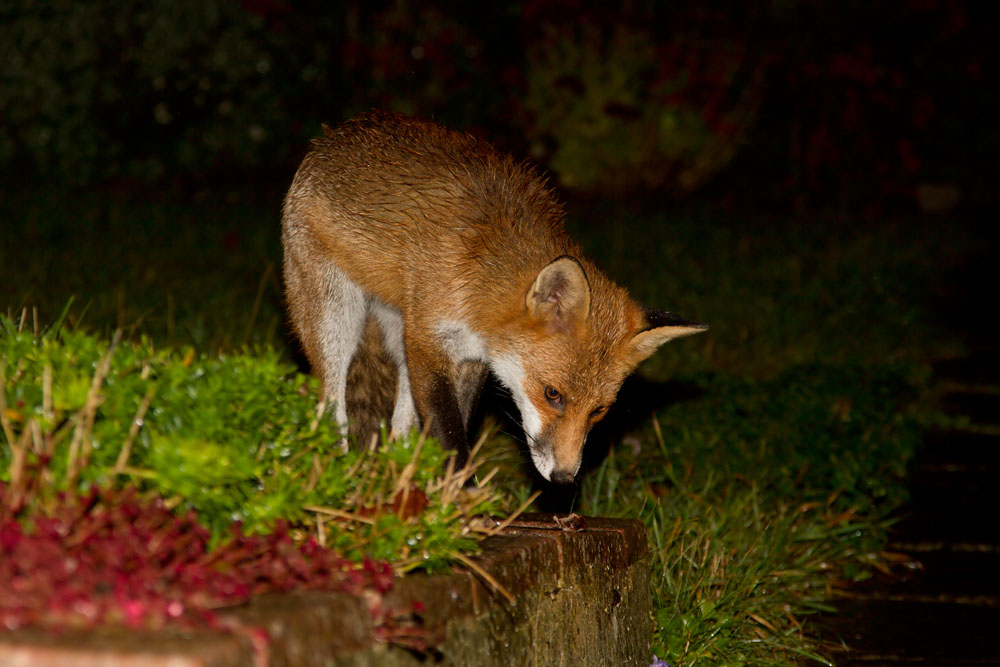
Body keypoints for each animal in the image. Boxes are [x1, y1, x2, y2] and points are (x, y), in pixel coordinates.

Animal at [282, 111, 706, 484]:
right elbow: (450, 435)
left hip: (395, 334)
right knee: (331, 407)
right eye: (553, 394)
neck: (481, 282)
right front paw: (459, 497)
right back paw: (337, 473)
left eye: (599, 410)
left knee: (399, 426)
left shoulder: (469, 358)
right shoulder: (428, 341)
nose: (564, 478)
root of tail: (334, 133)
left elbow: (455, 425)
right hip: (336, 321)